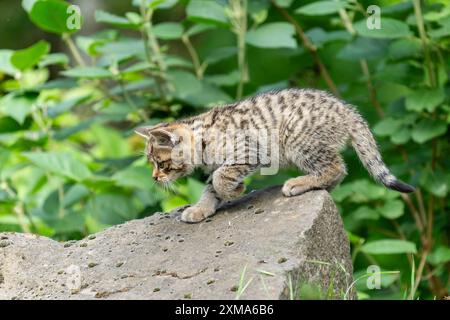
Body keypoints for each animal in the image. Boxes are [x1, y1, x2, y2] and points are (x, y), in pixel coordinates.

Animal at [135, 87, 414, 222]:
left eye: (161, 163)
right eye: (152, 164)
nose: (154, 178)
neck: (203, 136)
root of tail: (349, 111)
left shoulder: (248, 150)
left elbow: (221, 179)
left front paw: (235, 191)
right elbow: (211, 187)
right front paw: (201, 209)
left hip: (297, 139)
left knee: (336, 167)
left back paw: (300, 183)